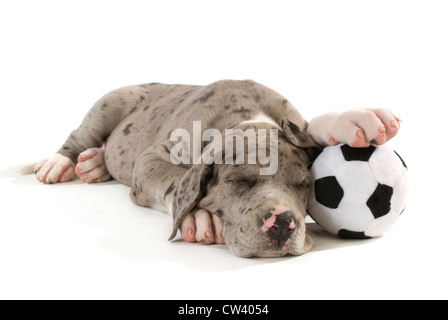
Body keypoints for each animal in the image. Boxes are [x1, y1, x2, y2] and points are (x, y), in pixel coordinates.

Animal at [34, 79, 400, 258]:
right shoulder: (152, 158)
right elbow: (175, 179)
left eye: (303, 185)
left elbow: (311, 130)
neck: (250, 118)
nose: (281, 223)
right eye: (238, 181)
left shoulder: (294, 123)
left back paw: (95, 163)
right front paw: (199, 217)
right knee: (80, 134)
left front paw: (353, 119)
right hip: (112, 102)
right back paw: (61, 162)